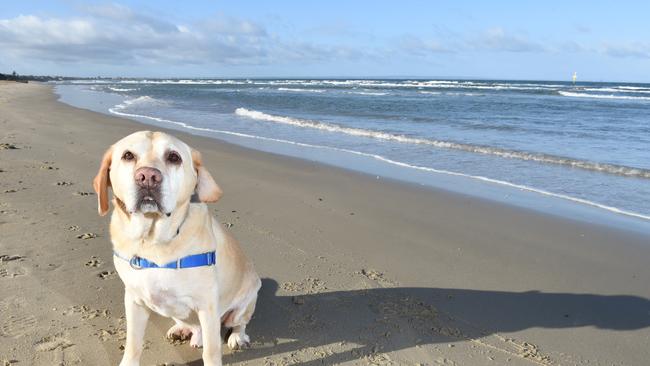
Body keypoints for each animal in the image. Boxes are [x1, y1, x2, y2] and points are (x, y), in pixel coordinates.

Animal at [93, 132, 260, 366]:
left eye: (174, 157)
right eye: (128, 155)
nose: (148, 176)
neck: (153, 243)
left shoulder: (208, 306)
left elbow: (211, 351)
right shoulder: (134, 300)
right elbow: (133, 344)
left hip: (246, 300)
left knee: (239, 323)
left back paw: (237, 337)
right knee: (193, 326)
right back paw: (183, 330)